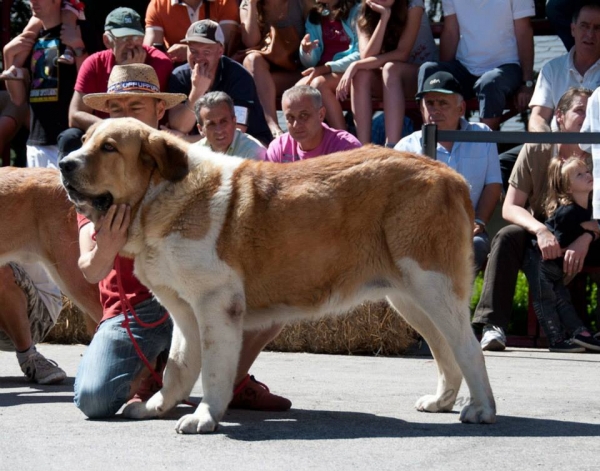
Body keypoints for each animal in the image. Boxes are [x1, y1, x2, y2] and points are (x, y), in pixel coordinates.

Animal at [59, 118, 496, 436]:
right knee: (444, 348)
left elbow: (213, 368)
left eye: (109, 148)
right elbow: (179, 366)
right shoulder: (184, 310)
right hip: (408, 297)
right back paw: (442, 401)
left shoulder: (216, 304)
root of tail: (450, 176)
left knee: (467, 348)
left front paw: (204, 417)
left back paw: (481, 410)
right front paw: (157, 407)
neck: (162, 196)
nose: (64, 163)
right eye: (84, 141)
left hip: (432, 285)